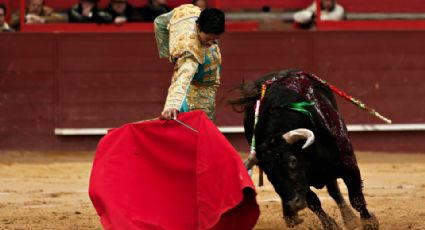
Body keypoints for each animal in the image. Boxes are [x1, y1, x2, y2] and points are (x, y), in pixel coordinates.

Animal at [230, 70, 380, 230]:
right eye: (268, 173)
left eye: (293, 161)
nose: (293, 204)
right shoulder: (303, 183)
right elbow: (314, 202)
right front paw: (330, 225)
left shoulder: (348, 164)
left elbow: (356, 198)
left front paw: (369, 223)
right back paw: (291, 217)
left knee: (335, 192)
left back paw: (350, 219)